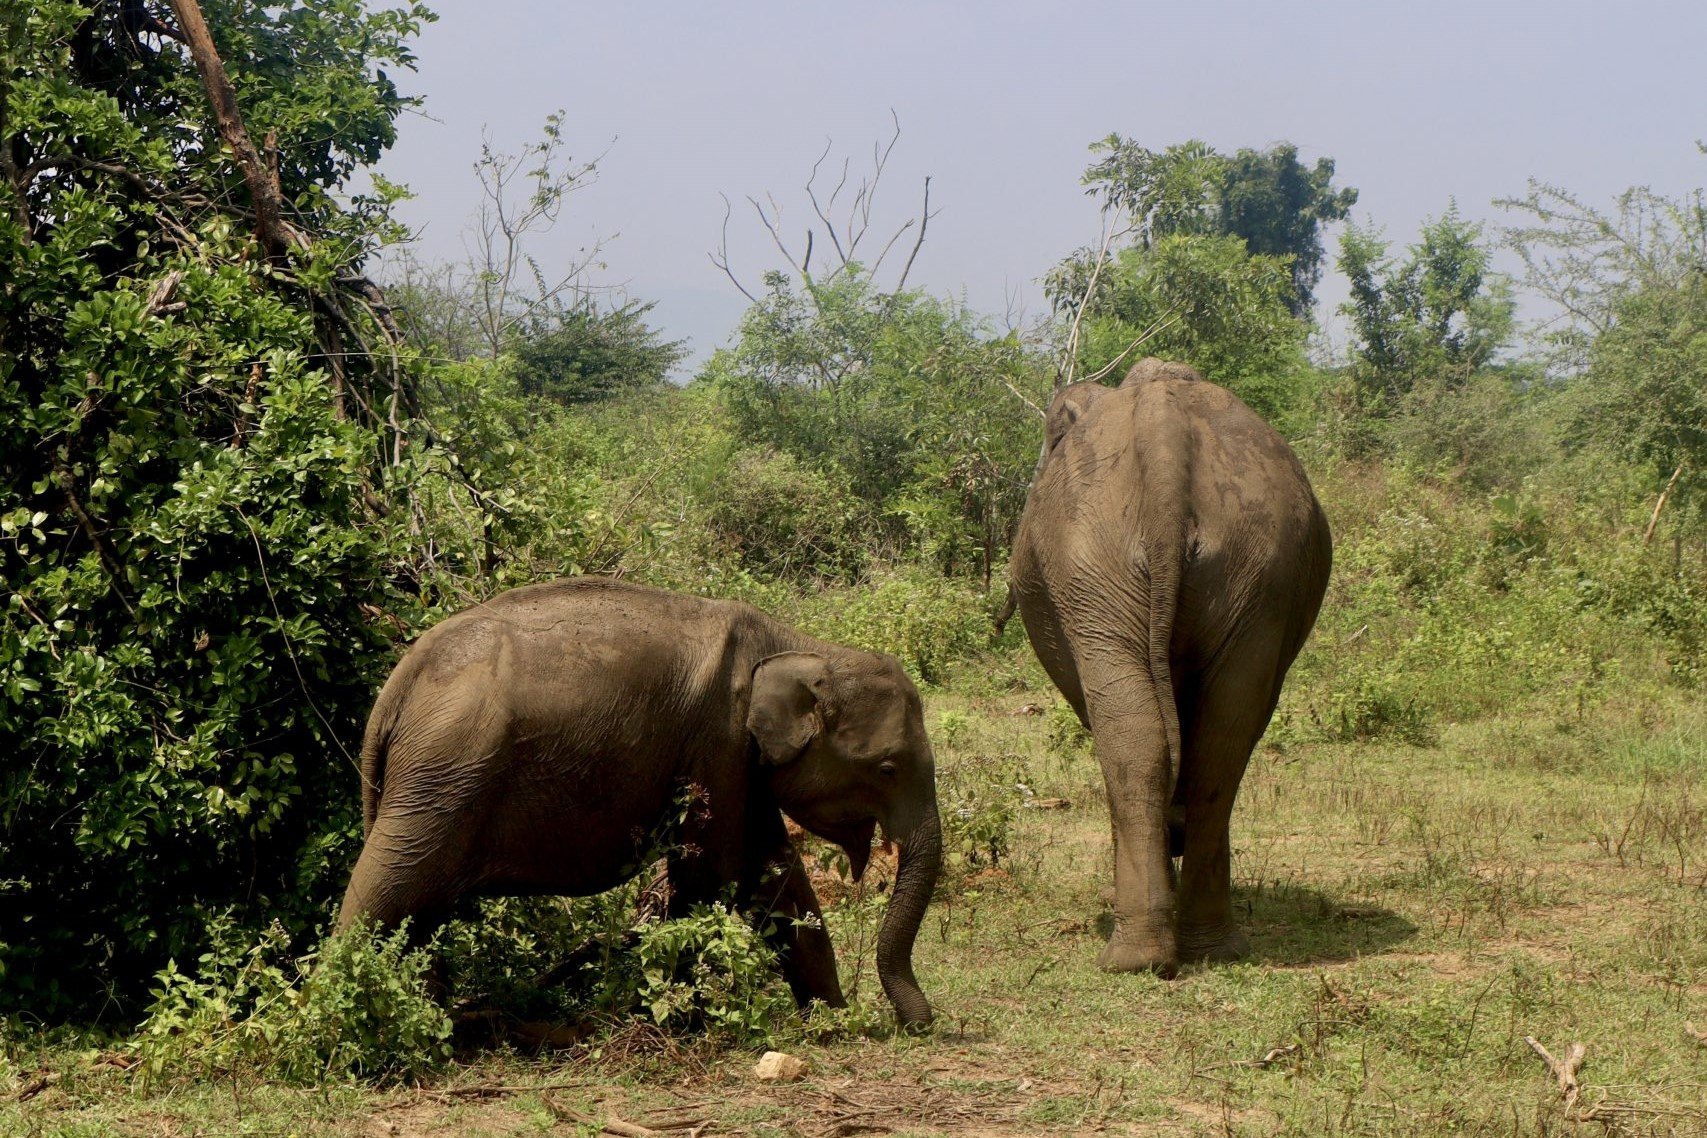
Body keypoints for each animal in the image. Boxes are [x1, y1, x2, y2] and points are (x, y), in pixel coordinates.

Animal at [337, 573, 942, 1030]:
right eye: (888, 768)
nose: (919, 1023)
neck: (798, 646)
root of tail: (396, 687)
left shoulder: (741, 763)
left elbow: (775, 876)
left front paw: (832, 1021)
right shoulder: (718, 744)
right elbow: (714, 877)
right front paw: (683, 1019)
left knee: (420, 907)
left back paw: (431, 1019)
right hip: (444, 774)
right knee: (388, 886)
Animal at [1010, 359, 1331, 975]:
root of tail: (1165, 440)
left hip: (1093, 565)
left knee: (1140, 739)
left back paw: (1131, 957)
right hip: (1256, 567)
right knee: (1217, 743)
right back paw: (1210, 948)